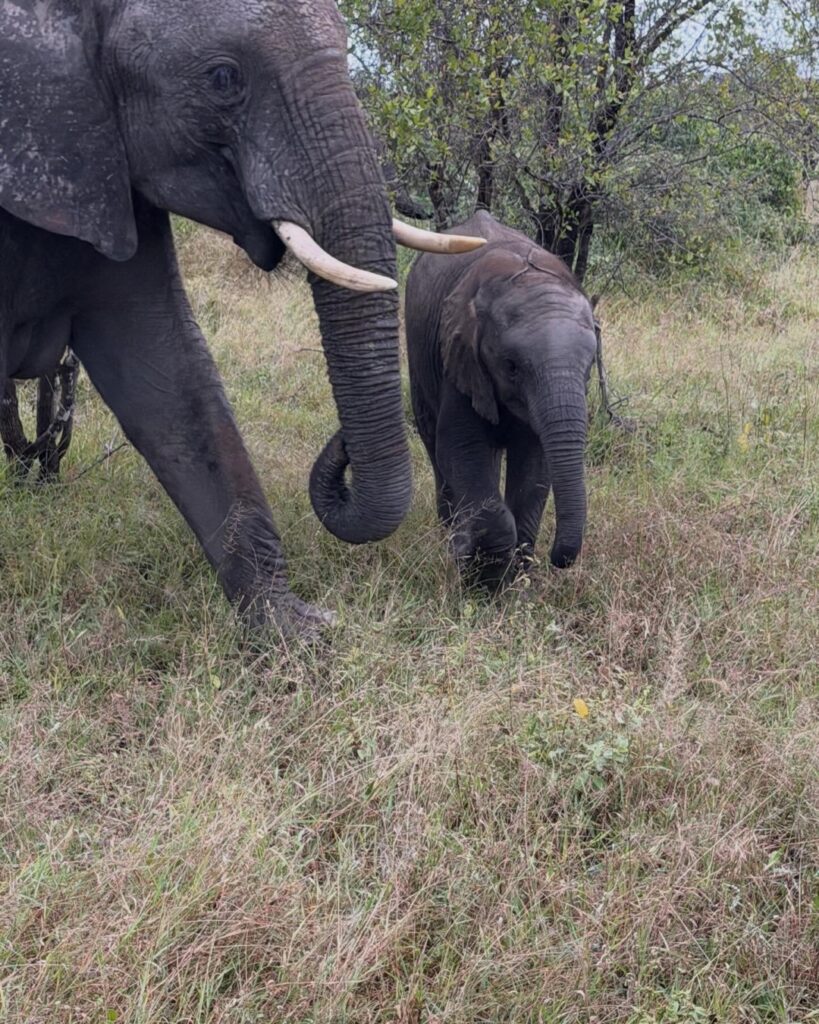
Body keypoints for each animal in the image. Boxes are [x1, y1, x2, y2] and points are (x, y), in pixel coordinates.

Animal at [405, 210, 598, 586]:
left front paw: (516, 582)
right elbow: (460, 448)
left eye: (590, 367)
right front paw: (485, 583)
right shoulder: (459, 358)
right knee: (434, 445)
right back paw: (450, 539)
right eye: (511, 367)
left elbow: (535, 464)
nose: (557, 559)